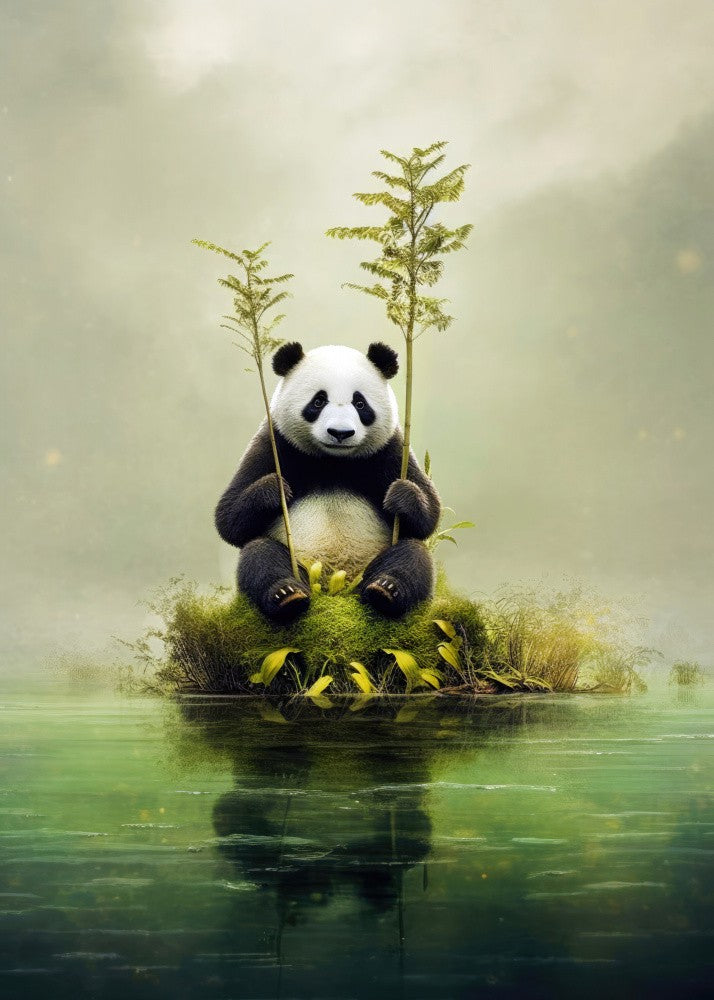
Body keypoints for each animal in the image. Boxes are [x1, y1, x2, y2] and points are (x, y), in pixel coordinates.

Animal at [215, 341, 441, 622]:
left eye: (360, 403)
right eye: (319, 401)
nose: (340, 433)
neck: (333, 462)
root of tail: (334, 590)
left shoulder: (390, 450)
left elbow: (427, 516)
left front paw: (401, 495)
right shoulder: (274, 443)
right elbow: (229, 518)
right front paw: (275, 490)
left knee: (413, 555)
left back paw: (386, 589)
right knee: (259, 554)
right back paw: (287, 594)